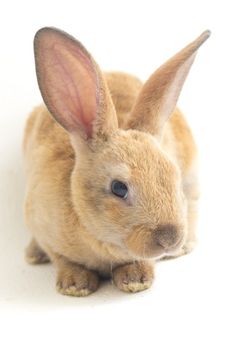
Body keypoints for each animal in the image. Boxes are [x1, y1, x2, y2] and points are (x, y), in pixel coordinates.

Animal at [22, 27, 210, 296]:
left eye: (173, 177)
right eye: (118, 188)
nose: (169, 237)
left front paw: (136, 280)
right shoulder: (42, 226)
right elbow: (62, 259)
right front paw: (75, 286)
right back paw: (33, 255)